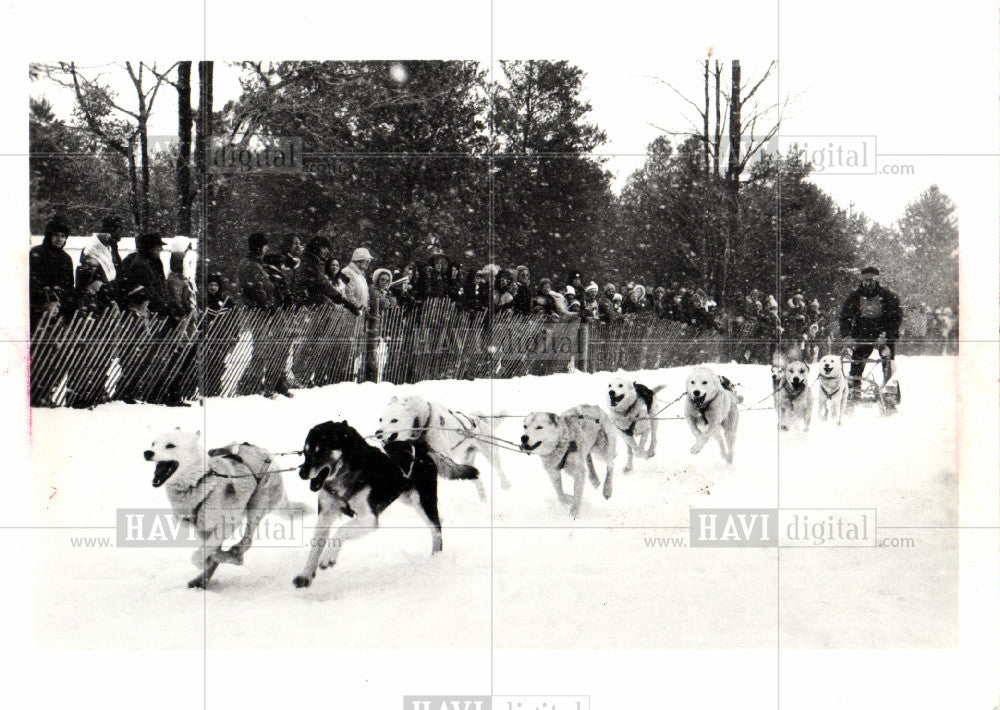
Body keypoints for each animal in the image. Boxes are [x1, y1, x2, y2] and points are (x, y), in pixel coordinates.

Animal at [292, 422, 478, 588]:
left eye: (322, 450)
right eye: (305, 452)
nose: (302, 473)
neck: (348, 473)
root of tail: (419, 445)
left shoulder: (369, 518)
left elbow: (341, 531)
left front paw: (328, 558)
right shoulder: (325, 515)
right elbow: (316, 545)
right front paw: (306, 574)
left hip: (423, 501)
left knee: (436, 529)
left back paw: (436, 559)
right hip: (409, 499)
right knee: (437, 522)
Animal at [378, 394, 512, 500]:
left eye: (394, 420)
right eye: (380, 419)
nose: (377, 432)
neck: (423, 422)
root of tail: (481, 420)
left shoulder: (442, 456)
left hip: (491, 454)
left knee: (499, 470)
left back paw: (505, 485)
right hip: (467, 462)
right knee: (477, 480)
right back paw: (483, 499)